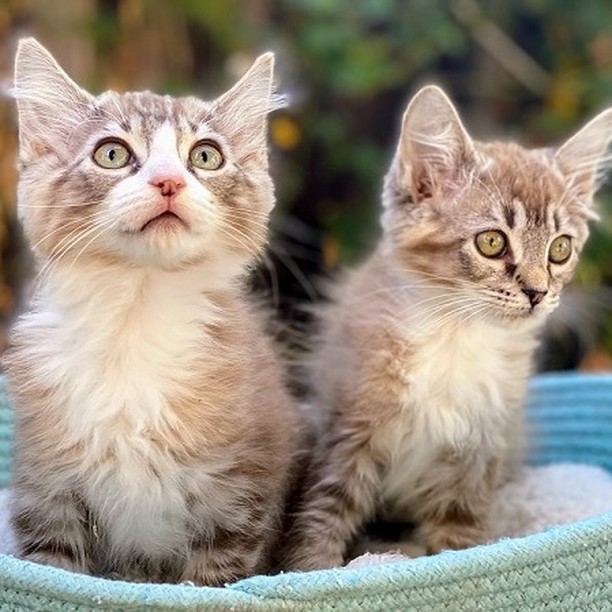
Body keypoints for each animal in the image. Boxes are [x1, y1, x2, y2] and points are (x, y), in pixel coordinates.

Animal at [4, 37, 302, 584]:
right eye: (112, 153)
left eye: (205, 156)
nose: (168, 181)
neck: (136, 316)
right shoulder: (46, 487)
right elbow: (55, 568)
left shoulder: (238, 490)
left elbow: (212, 577)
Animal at [284, 85, 612, 568]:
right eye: (491, 242)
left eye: (560, 249)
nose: (537, 292)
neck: (454, 335)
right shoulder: (347, 430)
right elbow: (321, 516)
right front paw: (312, 570)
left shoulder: (478, 452)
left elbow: (459, 541)